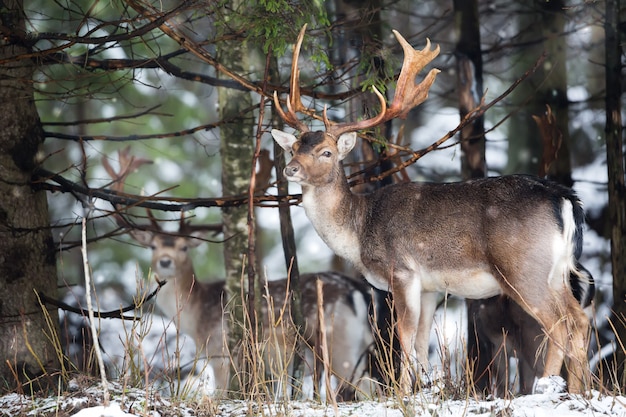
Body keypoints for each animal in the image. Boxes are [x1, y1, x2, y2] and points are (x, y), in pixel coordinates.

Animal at [270, 26, 588, 394]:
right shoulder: (430, 287)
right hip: (557, 271)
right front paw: (425, 387)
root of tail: (565, 198)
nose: (290, 169)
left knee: (560, 323)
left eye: (326, 152)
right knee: (579, 319)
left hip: (522, 268)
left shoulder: (402, 270)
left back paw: (547, 386)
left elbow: (404, 335)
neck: (359, 229)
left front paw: (403, 392)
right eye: (294, 147)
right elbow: (421, 340)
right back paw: (579, 390)